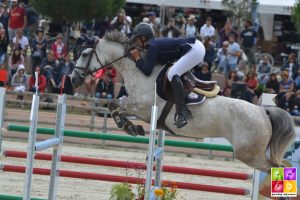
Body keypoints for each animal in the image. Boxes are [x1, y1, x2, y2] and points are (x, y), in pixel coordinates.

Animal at [71, 32, 296, 172]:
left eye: (84, 53)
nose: (73, 80)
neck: (140, 72)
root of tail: (264, 112)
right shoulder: (139, 109)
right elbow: (115, 107)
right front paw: (132, 128)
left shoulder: (141, 106)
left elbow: (114, 105)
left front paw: (130, 127)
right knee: (282, 164)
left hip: (249, 154)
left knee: (278, 168)